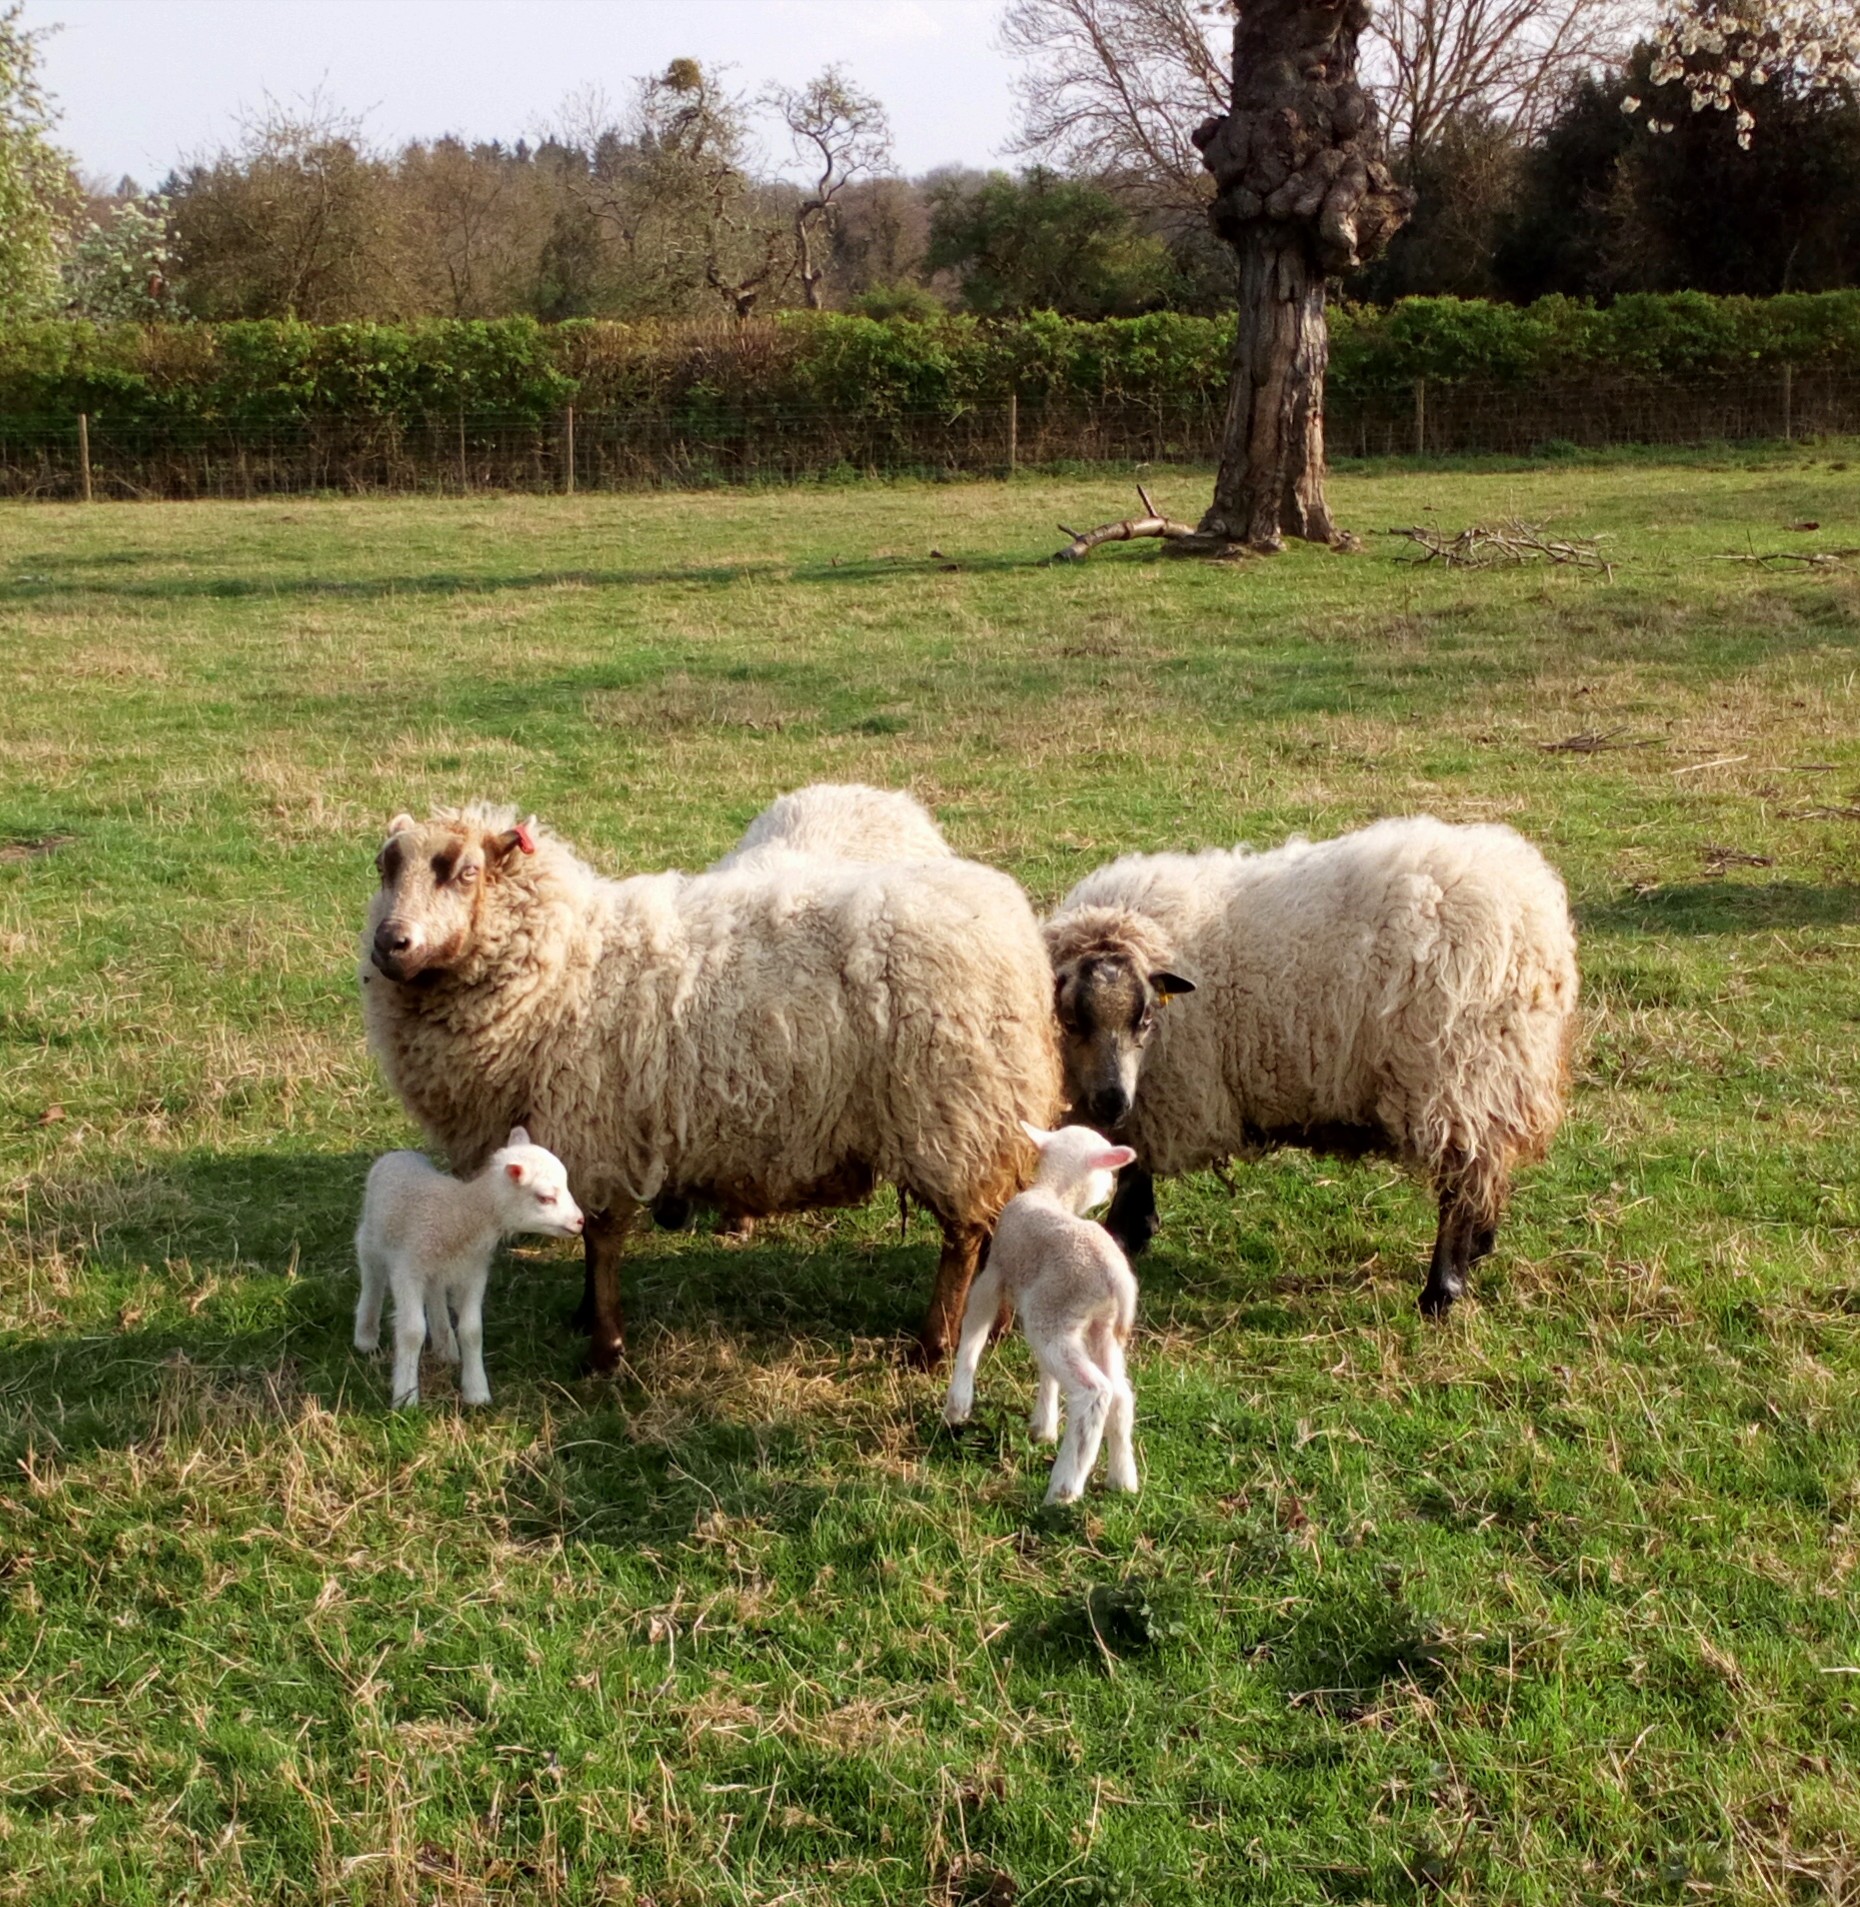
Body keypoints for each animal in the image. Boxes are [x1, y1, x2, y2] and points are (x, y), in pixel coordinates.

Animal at [353, 1128, 586, 1408]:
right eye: (545, 1198)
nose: (580, 1221)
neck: (461, 1214)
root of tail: (398, 1153)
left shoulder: (474, 1271)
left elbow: (472, 1330)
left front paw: (477, 1392)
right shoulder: (408, 1268)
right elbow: (412, 1331)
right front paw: (406, 1398)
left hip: (435, 1266)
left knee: (435, 1292)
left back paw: (445, 1346)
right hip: (373, 1235)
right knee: (371, 1274)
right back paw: (366, 1336)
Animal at [358, 804, 1062, 1372]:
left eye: (464, 872)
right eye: (384, 867)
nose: (391, 943)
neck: (570, 962)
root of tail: (1016, 925)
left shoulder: (599, 1129)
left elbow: (601, 1239)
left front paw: (605, 1350)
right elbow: (587, 1232)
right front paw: (588, 1319)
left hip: (953, 1116)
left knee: (963, 1238)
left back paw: (933, 1344)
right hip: (989, 1117)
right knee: (997, 1221)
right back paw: (995, 1325)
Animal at [942, 1123, 1141, 1505]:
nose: (1111, 1188)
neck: (1051, 1193)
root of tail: (1117, 1279)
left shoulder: (996, 1271)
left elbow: (974, 1328)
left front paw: (958, 1404)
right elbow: (1047, 1372)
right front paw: (1044, 1426)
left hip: (1053, 1312)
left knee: (1095, 1392)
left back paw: (1064, 1487)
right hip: (1098, 1326)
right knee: (1121, 1394)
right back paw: (1123, 1479)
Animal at [1044, 816, 1578, 1317]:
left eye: (1145, 1019)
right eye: (1070, 1020)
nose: (1111, 1100)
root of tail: (1533, 907)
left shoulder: (1160, 1097)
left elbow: (1133, 1162)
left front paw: (1121, 1233)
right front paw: (1132, 1229)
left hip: (1455, 1075)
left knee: (1461, 1181)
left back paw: (1441, 1291)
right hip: (1495, 1075)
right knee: (1488, 1166)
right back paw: (1480, 1247)